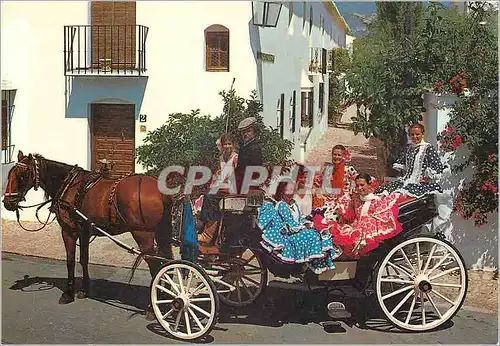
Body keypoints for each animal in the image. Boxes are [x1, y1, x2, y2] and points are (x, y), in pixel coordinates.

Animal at [2, 151, 174, 306]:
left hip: (143, 235)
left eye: (22, 175)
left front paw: (68, 293)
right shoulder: (84, 231)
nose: (7, 203)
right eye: (10, 174)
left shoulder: (69, 231)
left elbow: (70, 261)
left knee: (156, 265)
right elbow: (84, 260)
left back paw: (153, 307)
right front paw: (84, 290)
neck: (69, 186)